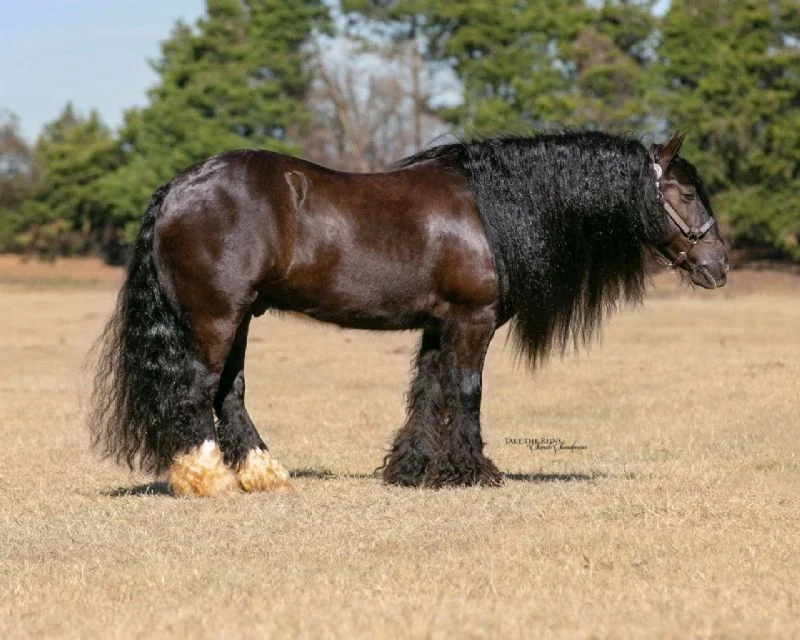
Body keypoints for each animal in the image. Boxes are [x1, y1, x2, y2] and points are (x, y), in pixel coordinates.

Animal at [90, 130, 729, 497]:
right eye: (686, 193)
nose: (719, 265)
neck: (489, 210)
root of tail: (178, 187)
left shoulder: (437, 325)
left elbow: (427, 391)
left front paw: (413, 469)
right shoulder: (471, 320)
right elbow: (466, 390)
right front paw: (474, 472)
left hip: (244, 317)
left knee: (231, 391)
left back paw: (263, 475)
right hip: (216, 317)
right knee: (198, 390)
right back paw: (206, 479)